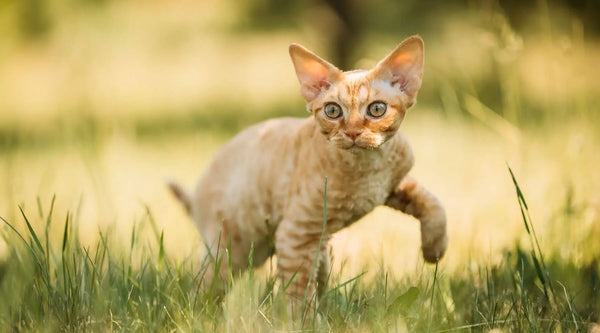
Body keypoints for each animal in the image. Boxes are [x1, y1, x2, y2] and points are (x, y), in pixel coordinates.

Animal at [168, 35, 446, 304]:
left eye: (377, 109)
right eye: (333, 111)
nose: (353, 133)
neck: (369, 168)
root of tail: (196, 194)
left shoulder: (395, 183)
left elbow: (433, 203)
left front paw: (434, 250)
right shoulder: (295, 235)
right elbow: (299, 296)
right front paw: (303, 317)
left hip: (315, 247)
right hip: (232, 250)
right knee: (202, 290)